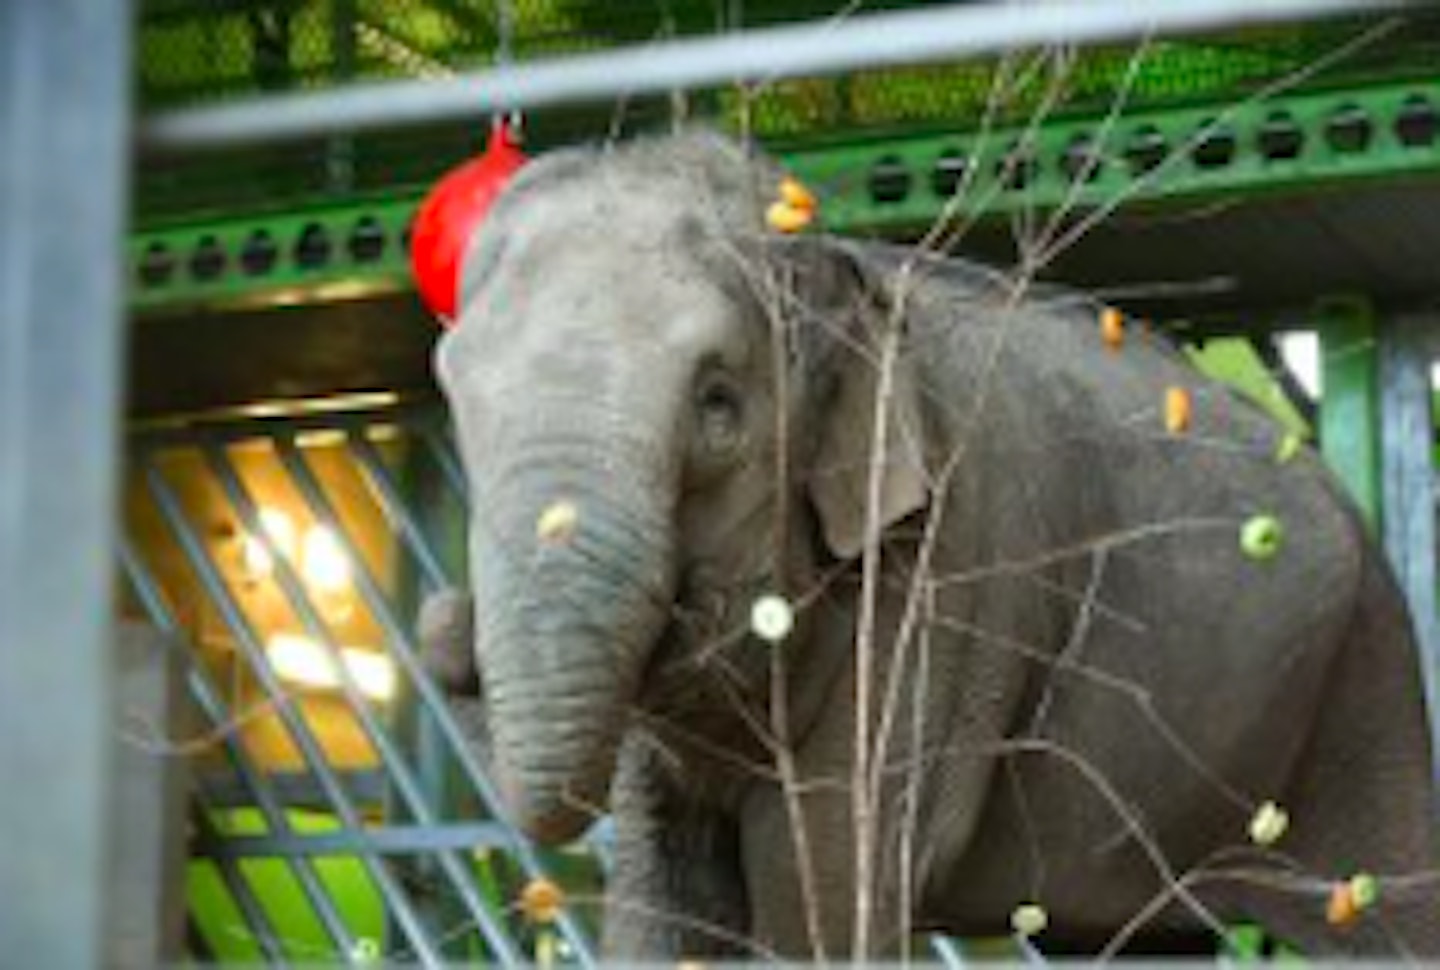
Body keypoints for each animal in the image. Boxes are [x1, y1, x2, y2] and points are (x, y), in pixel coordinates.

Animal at [429, 132, 1440, 955]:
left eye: (719, 406)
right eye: (456, 400)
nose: (444, 622)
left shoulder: (935, 579)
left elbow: (816, 894)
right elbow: (659, 898)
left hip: (1367, 673)